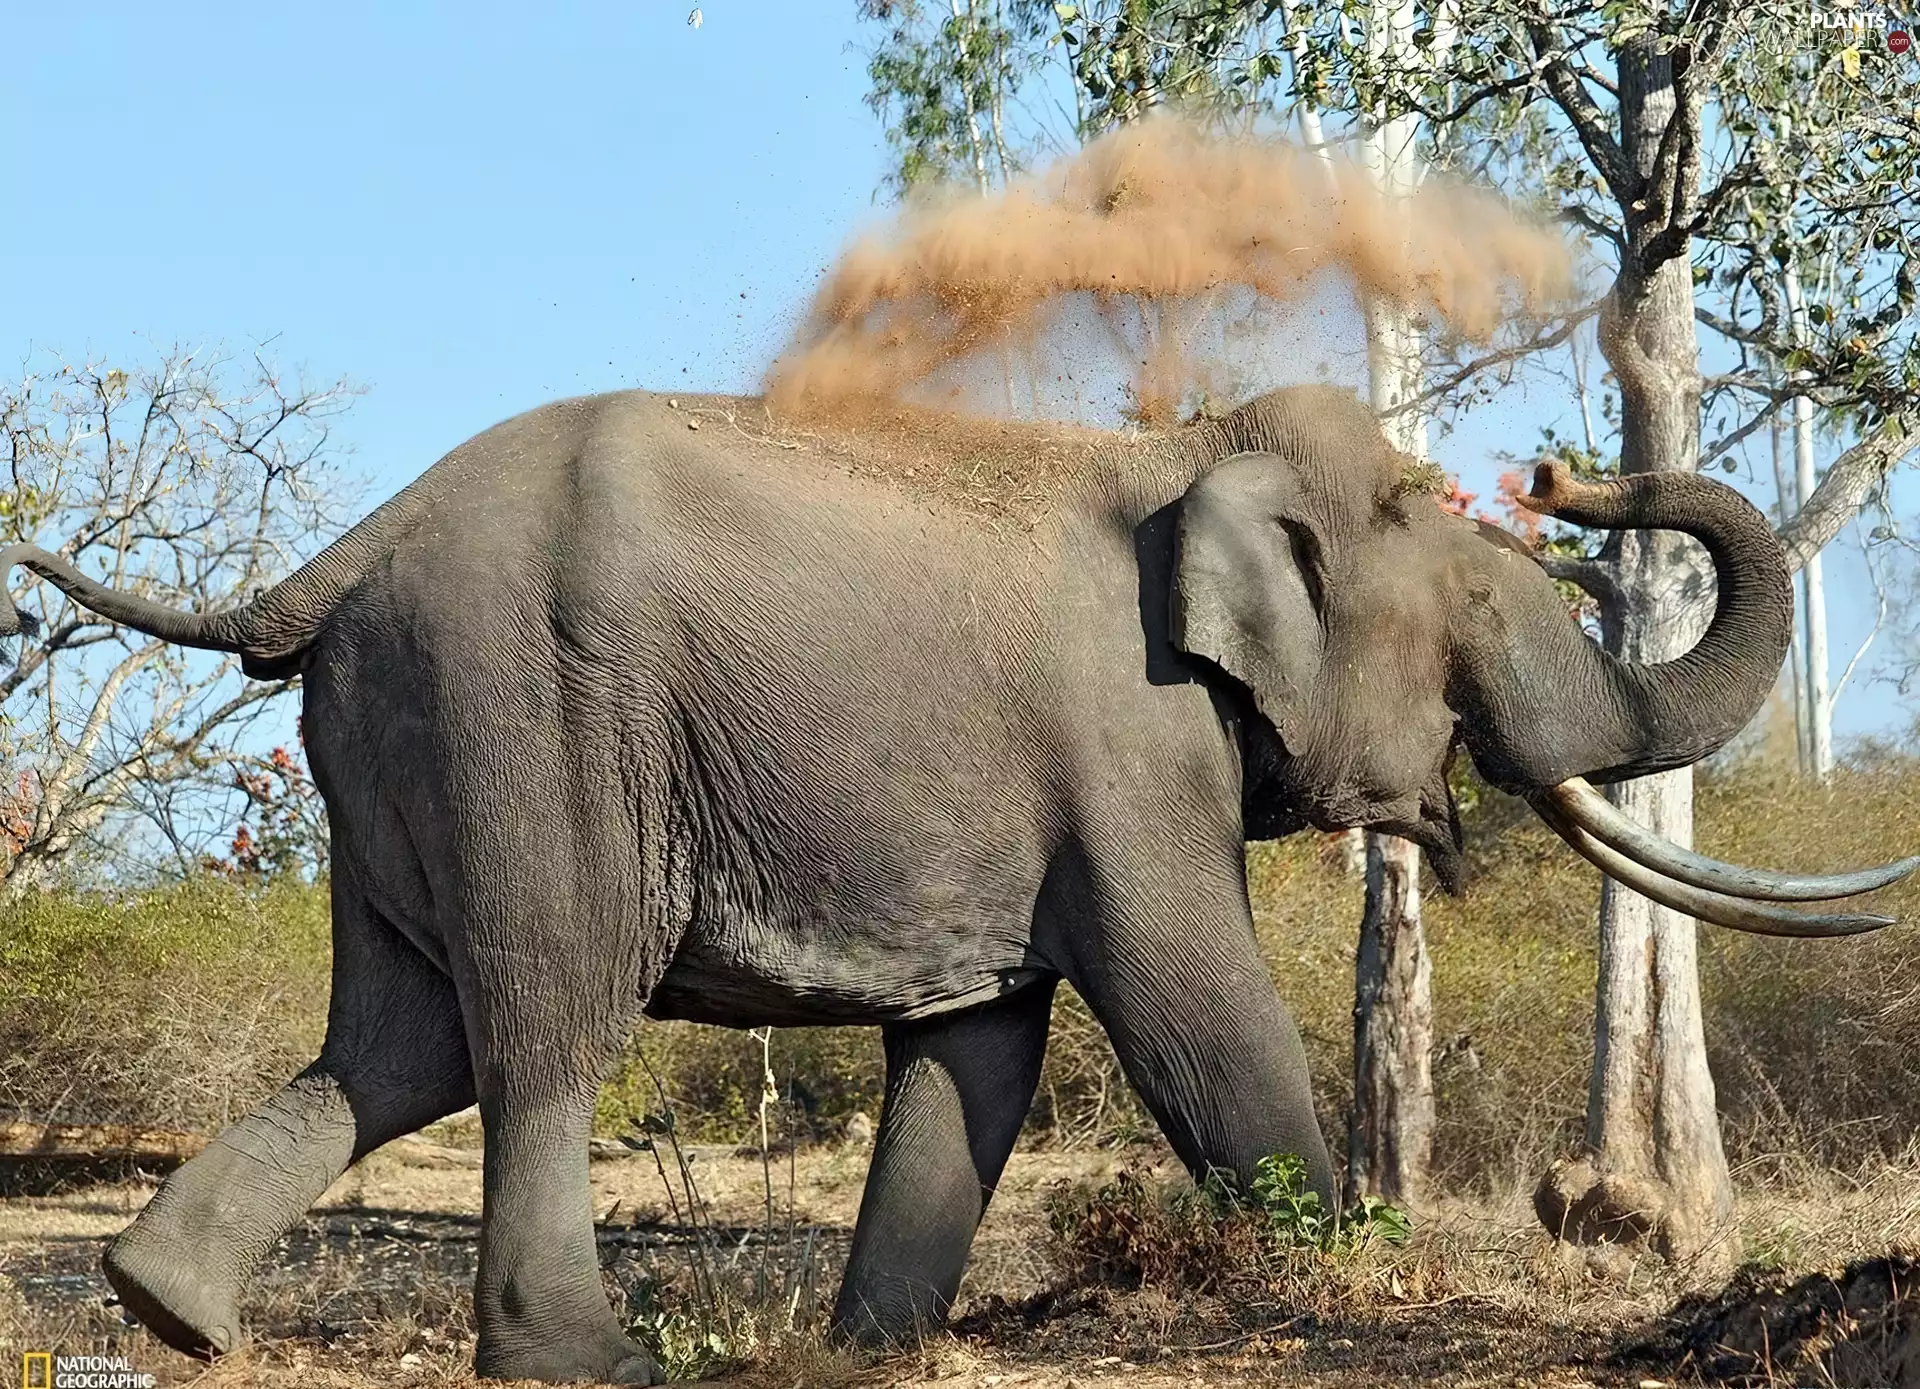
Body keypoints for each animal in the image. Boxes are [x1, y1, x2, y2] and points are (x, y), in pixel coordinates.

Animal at [2, 384, 1908, 1385]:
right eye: (1478, 618)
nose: (1571, 471)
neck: (1191, 451)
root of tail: (334, 557)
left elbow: (983, 1046)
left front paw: (871, 1348)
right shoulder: (1132, 748)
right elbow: (1192, 1007)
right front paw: (1340, 1275)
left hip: (404, 737)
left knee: (396, 1042)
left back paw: (165, 1309)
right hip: (526, 715)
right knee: (543, 1024)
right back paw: (581, 1359)